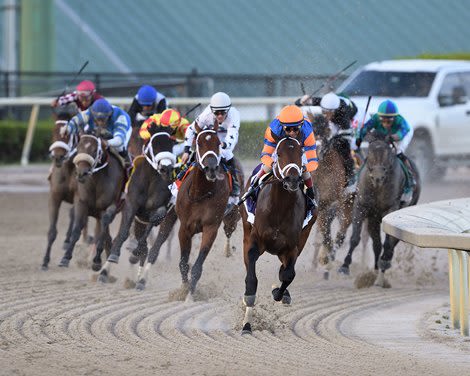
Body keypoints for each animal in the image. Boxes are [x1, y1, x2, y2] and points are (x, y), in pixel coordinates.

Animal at [57, 134, 126, 270]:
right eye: (78, 148)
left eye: (95, 150)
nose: (81, 173)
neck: (96, 181)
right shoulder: (81, 203)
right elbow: (77, 228)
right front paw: (65, 258)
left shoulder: (109, 207)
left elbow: (102, 230)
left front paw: (96, 261)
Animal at [98, 131, 177, 286]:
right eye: (153, 144)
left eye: (171, 144)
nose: (166, 169)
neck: (151, 180)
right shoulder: (131, 204)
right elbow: (123, 233)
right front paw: (109, 263)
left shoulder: (160, 209)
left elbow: (157, 217)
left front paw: (136, 253)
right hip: (139, 220)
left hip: (168, 220)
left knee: (155, 246)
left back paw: (142, 279)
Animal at [175, 126, 242, 300]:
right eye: (199, 143)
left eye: (218, 143)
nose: (211, 169)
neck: (200, 193)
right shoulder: (184, 228)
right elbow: (183, 263)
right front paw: (183, 289)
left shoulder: (210, 228)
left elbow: (197, 267)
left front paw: (190, 296)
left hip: (232, 216)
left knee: (229, 231)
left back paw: (228, 251)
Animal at [242, 137, 316, 334]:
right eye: (279, 154)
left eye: (300, 152)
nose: (292, 179)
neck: (279, 207)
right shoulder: (255, 240)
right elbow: (251, 277)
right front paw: (247, 321)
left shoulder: (292, 247)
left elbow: (288, 275)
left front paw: (278, 292)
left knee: (284, 271)